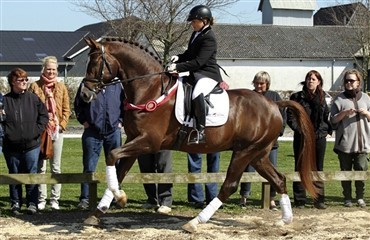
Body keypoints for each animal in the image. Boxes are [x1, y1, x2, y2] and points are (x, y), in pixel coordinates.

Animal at [79, 36, 316, 232]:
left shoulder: (148, 142)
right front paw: (99, 211)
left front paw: (119, 198)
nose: (84, 95)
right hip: (258, 154)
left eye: (95, 64)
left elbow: (112, 155)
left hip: (245, 152)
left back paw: (195, 222)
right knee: (279, 179)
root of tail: (274, 104)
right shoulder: (134, 140)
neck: (150, 88)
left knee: (229, 186)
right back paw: (285, 220)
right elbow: (118, 170)